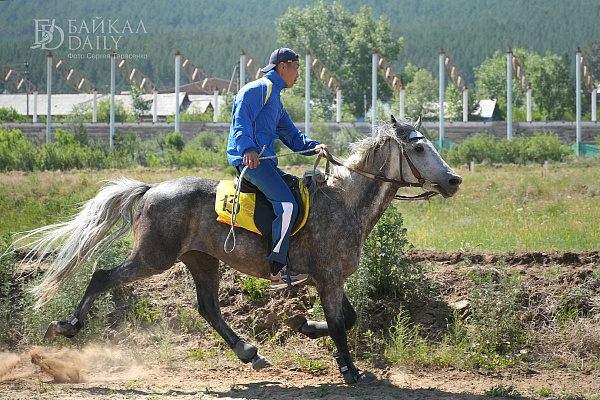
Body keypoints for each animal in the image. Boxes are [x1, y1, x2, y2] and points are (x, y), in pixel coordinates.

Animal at [16, 115, 461, 384]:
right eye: (418, 148)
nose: (454, 180)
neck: (344, 202)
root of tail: (151, 189)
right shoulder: (329, 276)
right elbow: (340, 324)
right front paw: (349, 370)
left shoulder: (329, 277)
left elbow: (346, 319)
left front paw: (305, 326)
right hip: (153, 258)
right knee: (102, 276)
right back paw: (67, 326)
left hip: (201, 260)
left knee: (209, 308)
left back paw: (248, 351)